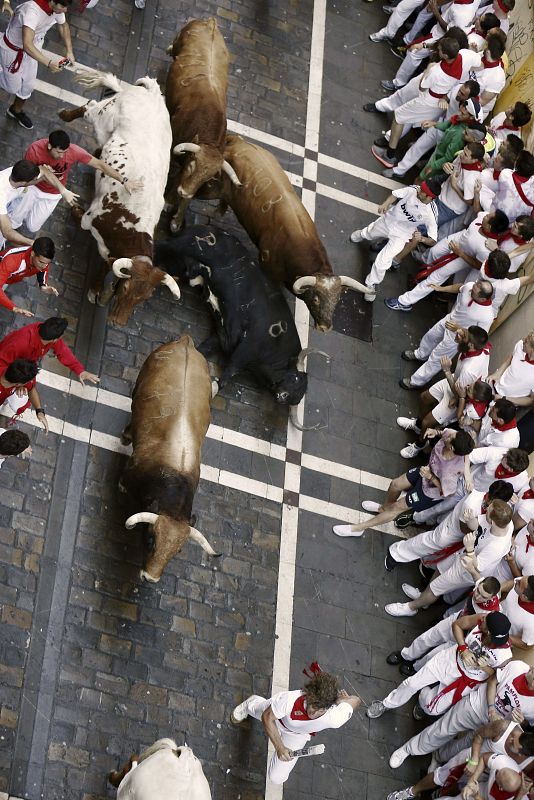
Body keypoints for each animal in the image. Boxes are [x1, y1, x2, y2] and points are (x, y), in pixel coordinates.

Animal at [58, 69, 180, 324]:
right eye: (125, 289)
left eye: (144, 298)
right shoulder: (90, 219)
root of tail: (151, 92)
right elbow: (80, 218)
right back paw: (65, 114)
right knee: (89, 106)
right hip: (102, 119)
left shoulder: (110, 252)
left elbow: (107, 266)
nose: (118, 322)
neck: (130, 226)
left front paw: (95, 289)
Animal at [155, 223, 330, 416]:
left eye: (298, 396)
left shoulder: (222, 336)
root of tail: (206, 227)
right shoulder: (244, 352)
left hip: (180, 265)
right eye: (297, 378)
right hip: (177, 246)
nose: (283, 396)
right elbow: (226, 376)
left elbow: (203, 349)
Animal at [166, 18, 242, 230]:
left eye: (208, 178)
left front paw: (177, 220)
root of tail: (211, 22)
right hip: (178, 40)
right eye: (192, 166)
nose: (184, 192)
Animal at [195, 136, 374, 330]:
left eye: (336, 301)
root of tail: (238, 141)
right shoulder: (266, 266)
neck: (301, 245)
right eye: (316, 299)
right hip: (211, 187)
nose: (325, 327)